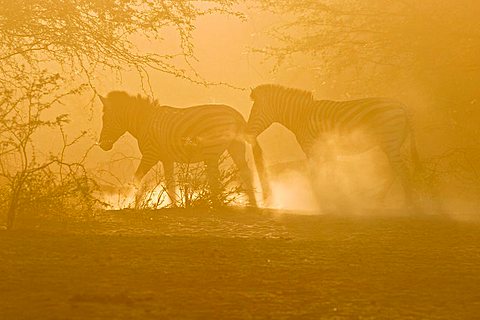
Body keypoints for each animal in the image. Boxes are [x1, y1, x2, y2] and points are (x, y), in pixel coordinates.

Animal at [97, 91, 270, 206]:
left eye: (105, 118)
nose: (101, 145)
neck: (144, 121)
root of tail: (236, 114)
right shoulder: (166, 158)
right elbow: (171, 184)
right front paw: (174, 206)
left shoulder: (150, 155)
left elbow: (136, 179)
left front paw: (130, 204)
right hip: (235, 146)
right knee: (245, 172)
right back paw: (252, 204)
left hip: (212, 151)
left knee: (215, 177)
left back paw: (215, 204)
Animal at [246, 84, 418, 211]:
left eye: (255, 111)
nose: (247, 134)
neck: (301, 117)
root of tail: (402, 106)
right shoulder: (327, 150)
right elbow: (332, 174)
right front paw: (338, 200)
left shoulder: (312, 149)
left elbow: (317, 176)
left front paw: (324, 202)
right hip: (392, 144)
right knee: (395, 171)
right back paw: (380, 199)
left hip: (391, 143)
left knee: (402, 170)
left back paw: (408, 205)